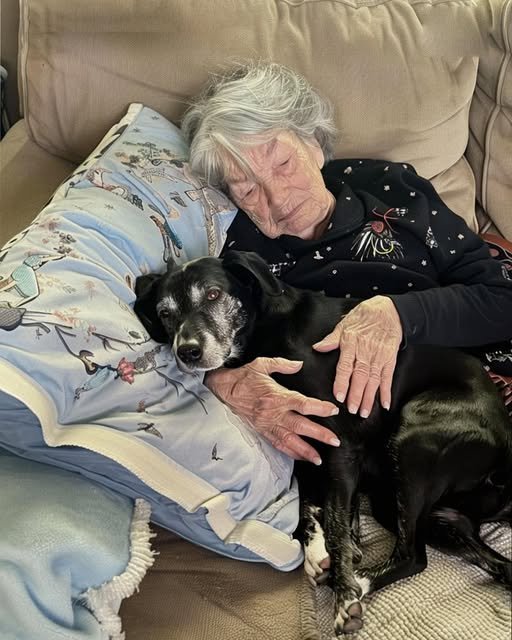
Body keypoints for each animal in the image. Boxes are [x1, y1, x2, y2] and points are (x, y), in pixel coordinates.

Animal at [135, 250, 512, 636]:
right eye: (165, 313)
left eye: (212, 294)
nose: (187, 352)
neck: (264, 330)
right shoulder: (302, 442)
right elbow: (309, 503)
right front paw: (319, 548)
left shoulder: (339, 447)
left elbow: (333, 521)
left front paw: (343, 594)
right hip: (404, 504)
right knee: (496, 565)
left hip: (412, 443)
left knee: (413, 557)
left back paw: (358, 582)